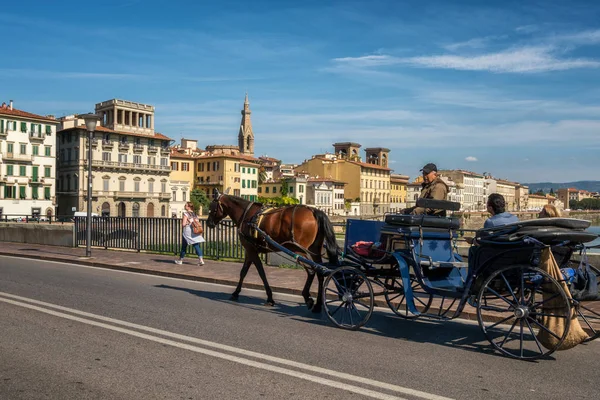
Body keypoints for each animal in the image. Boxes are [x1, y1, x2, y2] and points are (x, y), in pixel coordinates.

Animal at [205, 191, 338, 312]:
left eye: (212, 207)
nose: (208, 223)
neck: (246, 215)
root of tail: (314, 211)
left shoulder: (251, 250)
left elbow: (261, 273)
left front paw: (269, 298)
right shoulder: (249, 250)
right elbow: (243, 272)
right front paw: (236, 292)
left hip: (298, 250)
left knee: (311, 270)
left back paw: (308, 298)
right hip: (314, 249)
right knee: (320, 272)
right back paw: (318, 305)